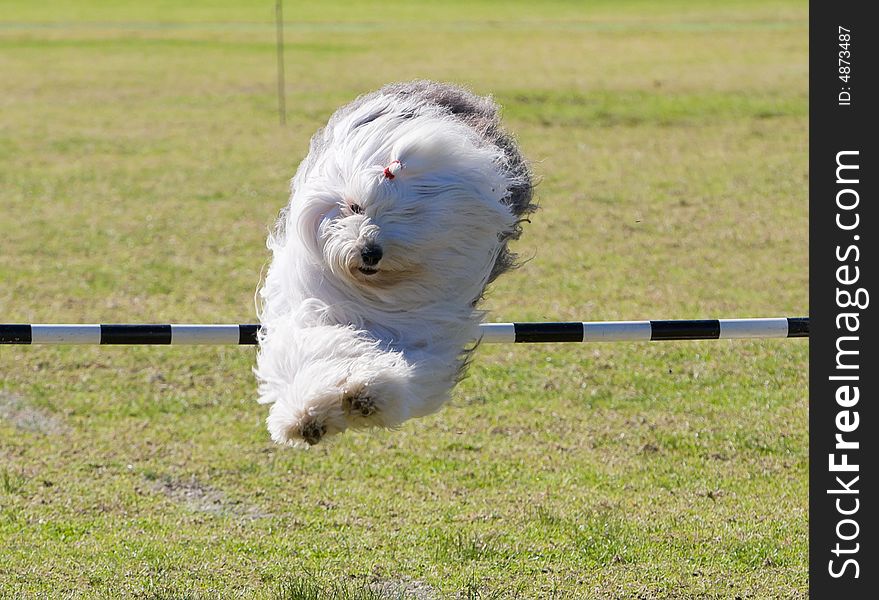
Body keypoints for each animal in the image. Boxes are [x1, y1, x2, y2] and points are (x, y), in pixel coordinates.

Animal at [251, 81, 532, 446]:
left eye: (406, 214)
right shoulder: (315, 310)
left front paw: (368, 394)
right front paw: (308, 415)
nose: (370, 252)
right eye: (355, 207)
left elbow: (408, 368)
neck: (374, 291)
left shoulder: (424, 329)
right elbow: (314, 349)